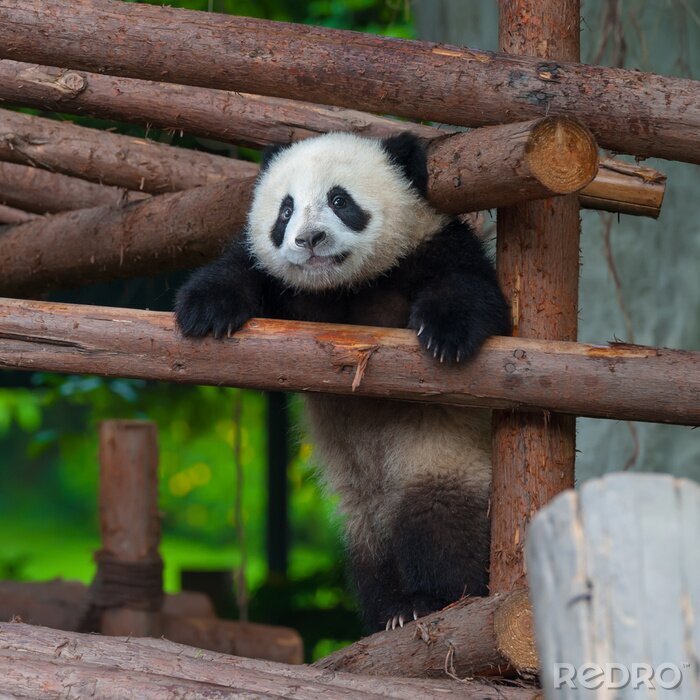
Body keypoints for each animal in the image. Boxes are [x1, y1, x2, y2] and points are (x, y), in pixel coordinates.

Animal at [175, 131, 510, 631]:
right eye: (286, 210)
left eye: (339, 200)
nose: (309, 239)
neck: (342, 287)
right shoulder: (289, 291)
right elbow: (242, 269)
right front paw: (204, 310)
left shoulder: (431, 246)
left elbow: (471, 289)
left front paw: (446, 333)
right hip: (360, 505)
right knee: (369, 547)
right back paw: (389, 607)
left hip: (443, 457)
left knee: (441, 522)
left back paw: (431, 599)